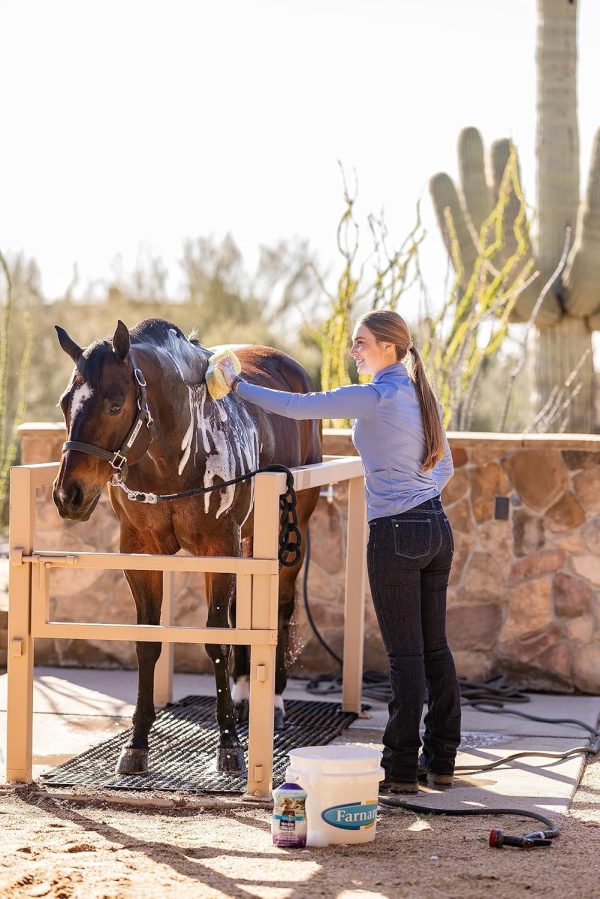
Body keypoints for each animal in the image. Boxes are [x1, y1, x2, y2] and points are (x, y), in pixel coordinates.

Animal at [54, 320, 322, 776]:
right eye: (64, 403)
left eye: (114, 405)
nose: (68, 494)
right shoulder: (141, 552)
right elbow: (149, 642)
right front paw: (137, 743)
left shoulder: (219, 545)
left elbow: (216, 640)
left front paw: (229, 745)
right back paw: (245, 692)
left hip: (289, 532)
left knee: (282, 608)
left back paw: (275, 701)